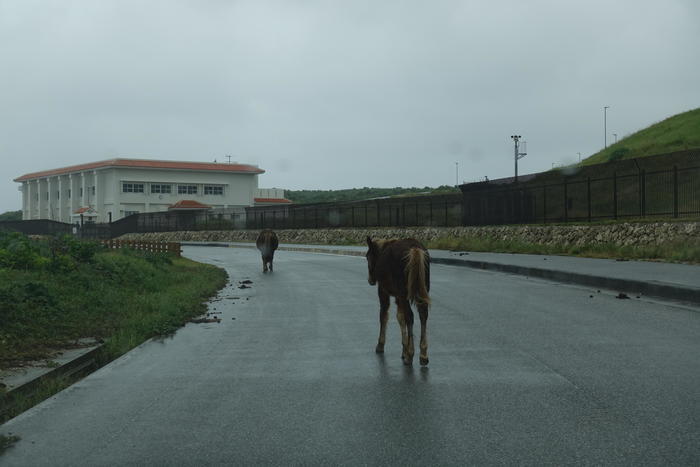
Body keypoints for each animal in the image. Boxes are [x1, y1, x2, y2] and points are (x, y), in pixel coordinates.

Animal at [366, 238, 432, 366]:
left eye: (367, 257)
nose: (370, 280)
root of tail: (415, 249)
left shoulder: (383, 290)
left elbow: (384, 315)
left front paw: (380, 345)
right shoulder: (398, 296)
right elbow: (400, 317)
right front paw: (404, 350)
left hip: (404, 290)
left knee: (410, 316)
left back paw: (411, 355)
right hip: (423, 287)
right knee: (423, 314)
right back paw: (423, 354)